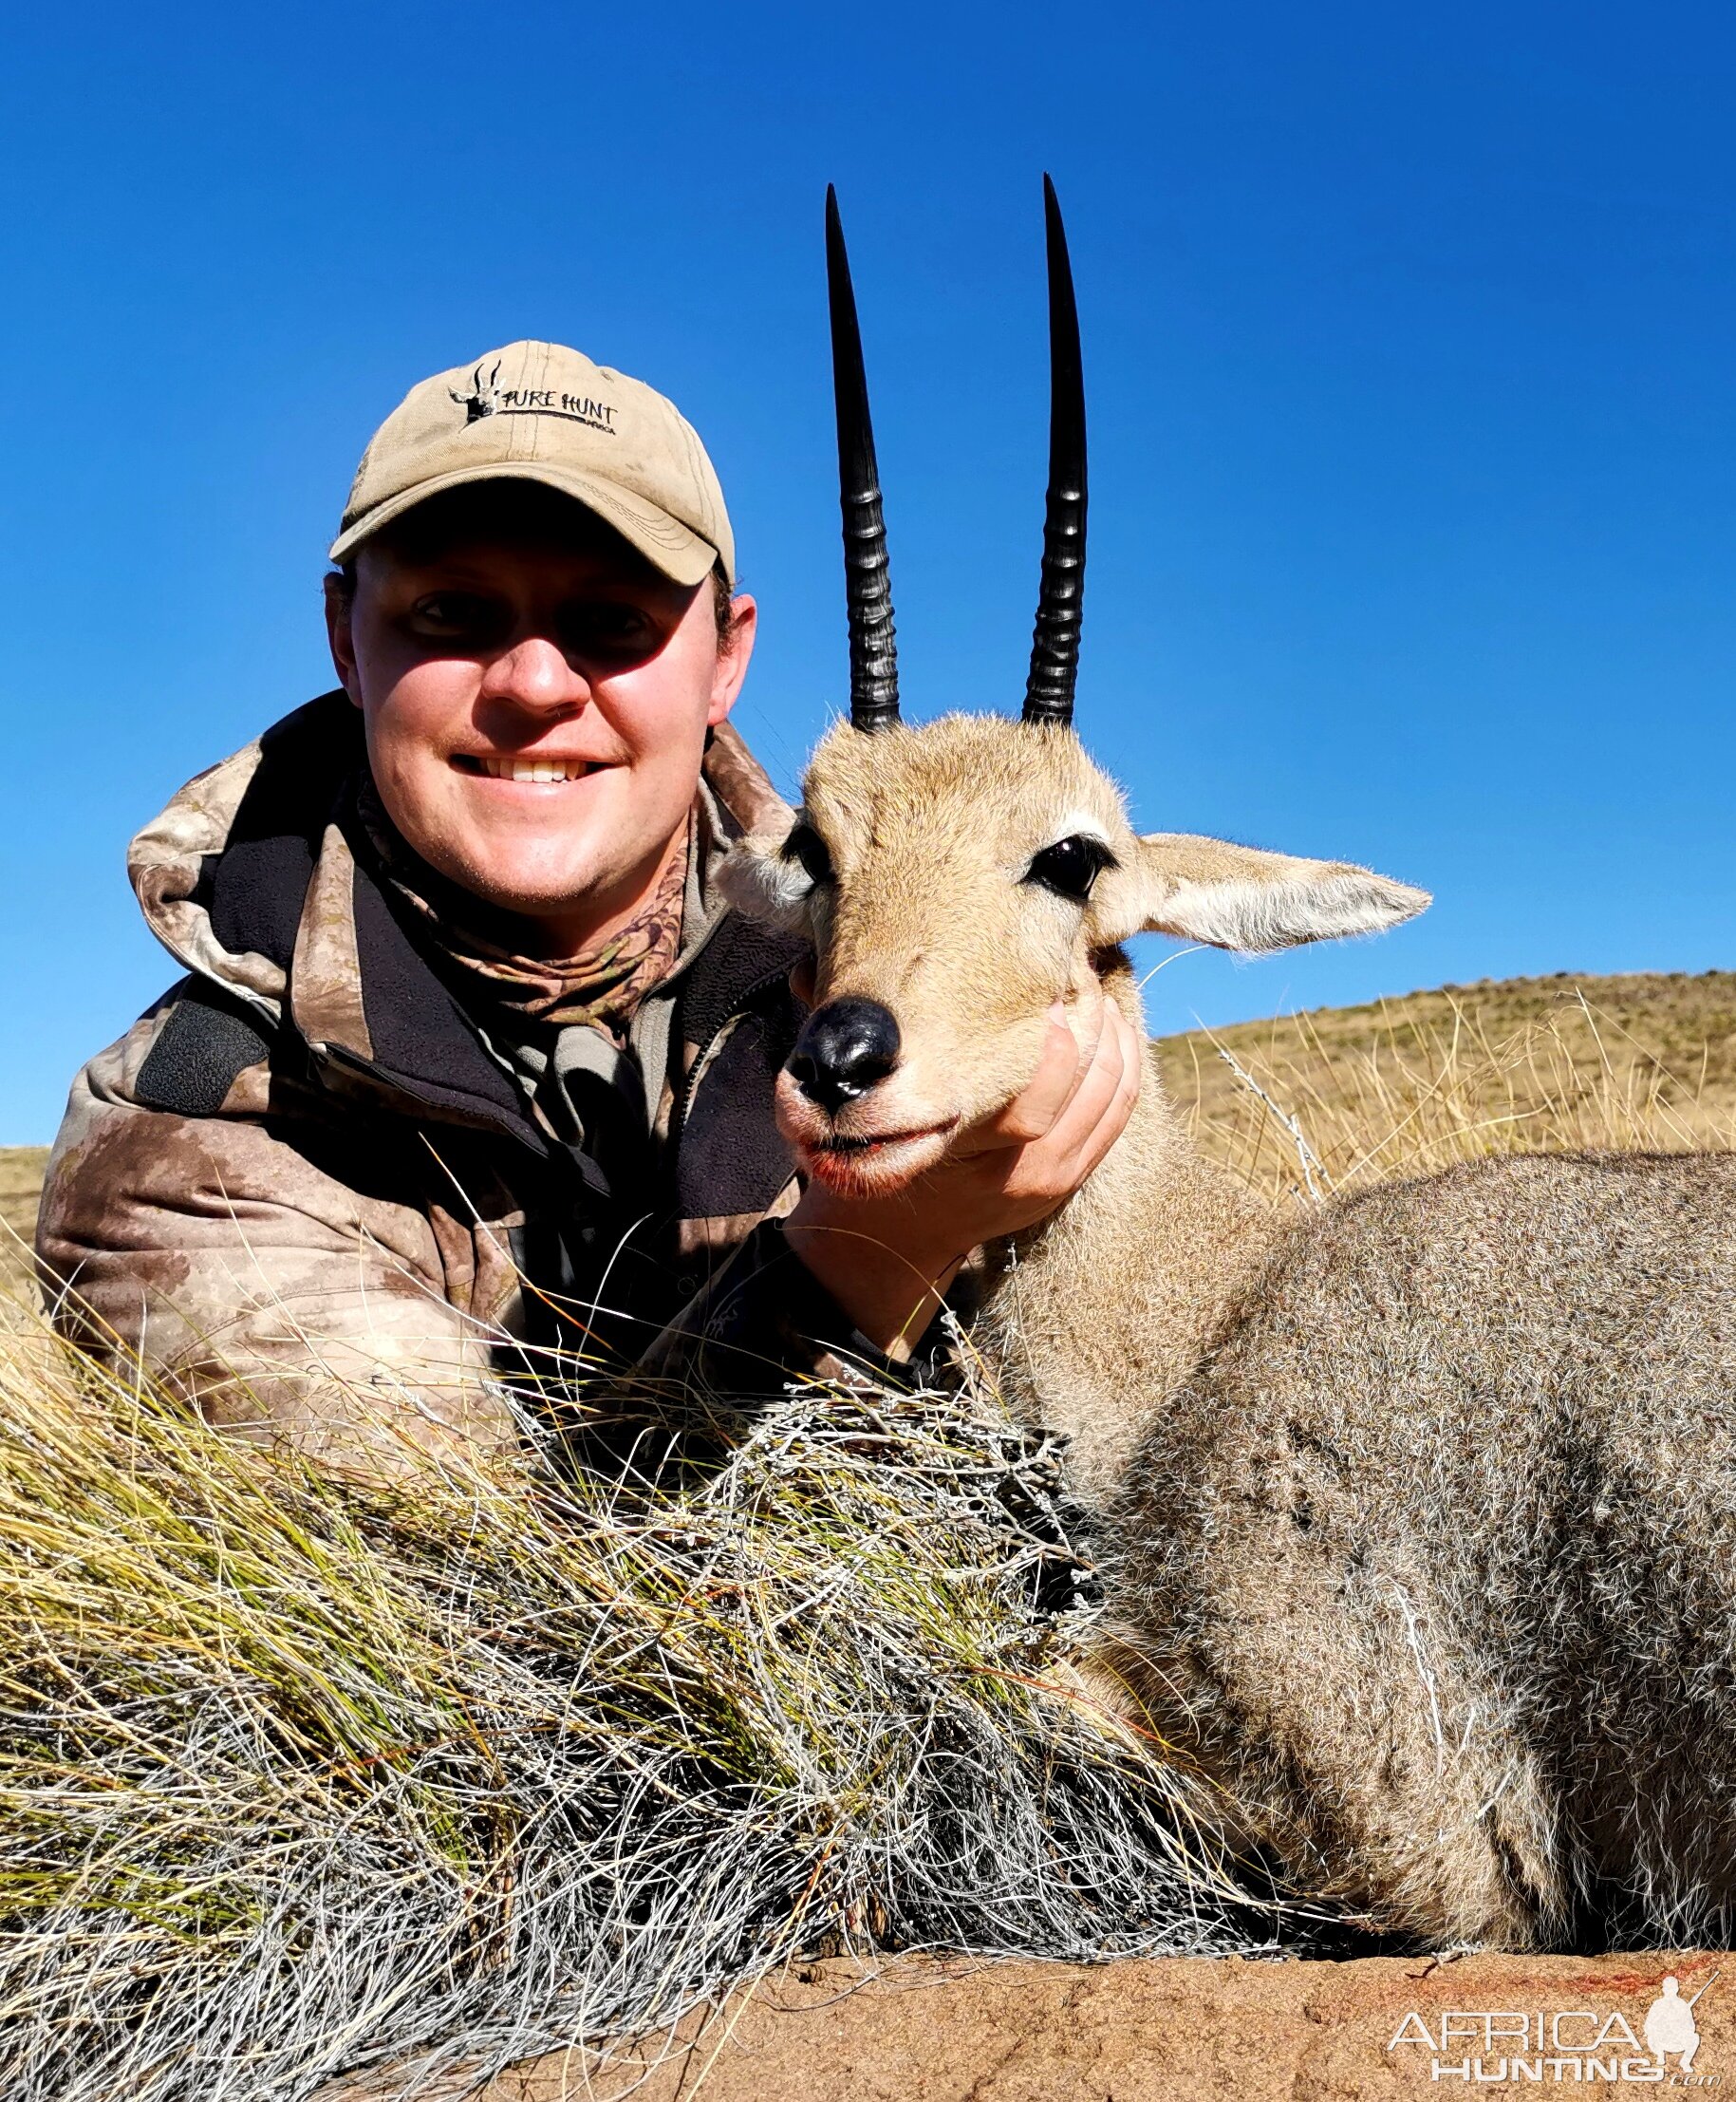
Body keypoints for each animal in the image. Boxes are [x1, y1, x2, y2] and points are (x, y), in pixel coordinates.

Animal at [719, 184, 1736, 1950]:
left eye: (1069, 854)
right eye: (812, 844)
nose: (840, 1061)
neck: (1222, 1304)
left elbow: (1035, 1671)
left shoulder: (1423, 1841)